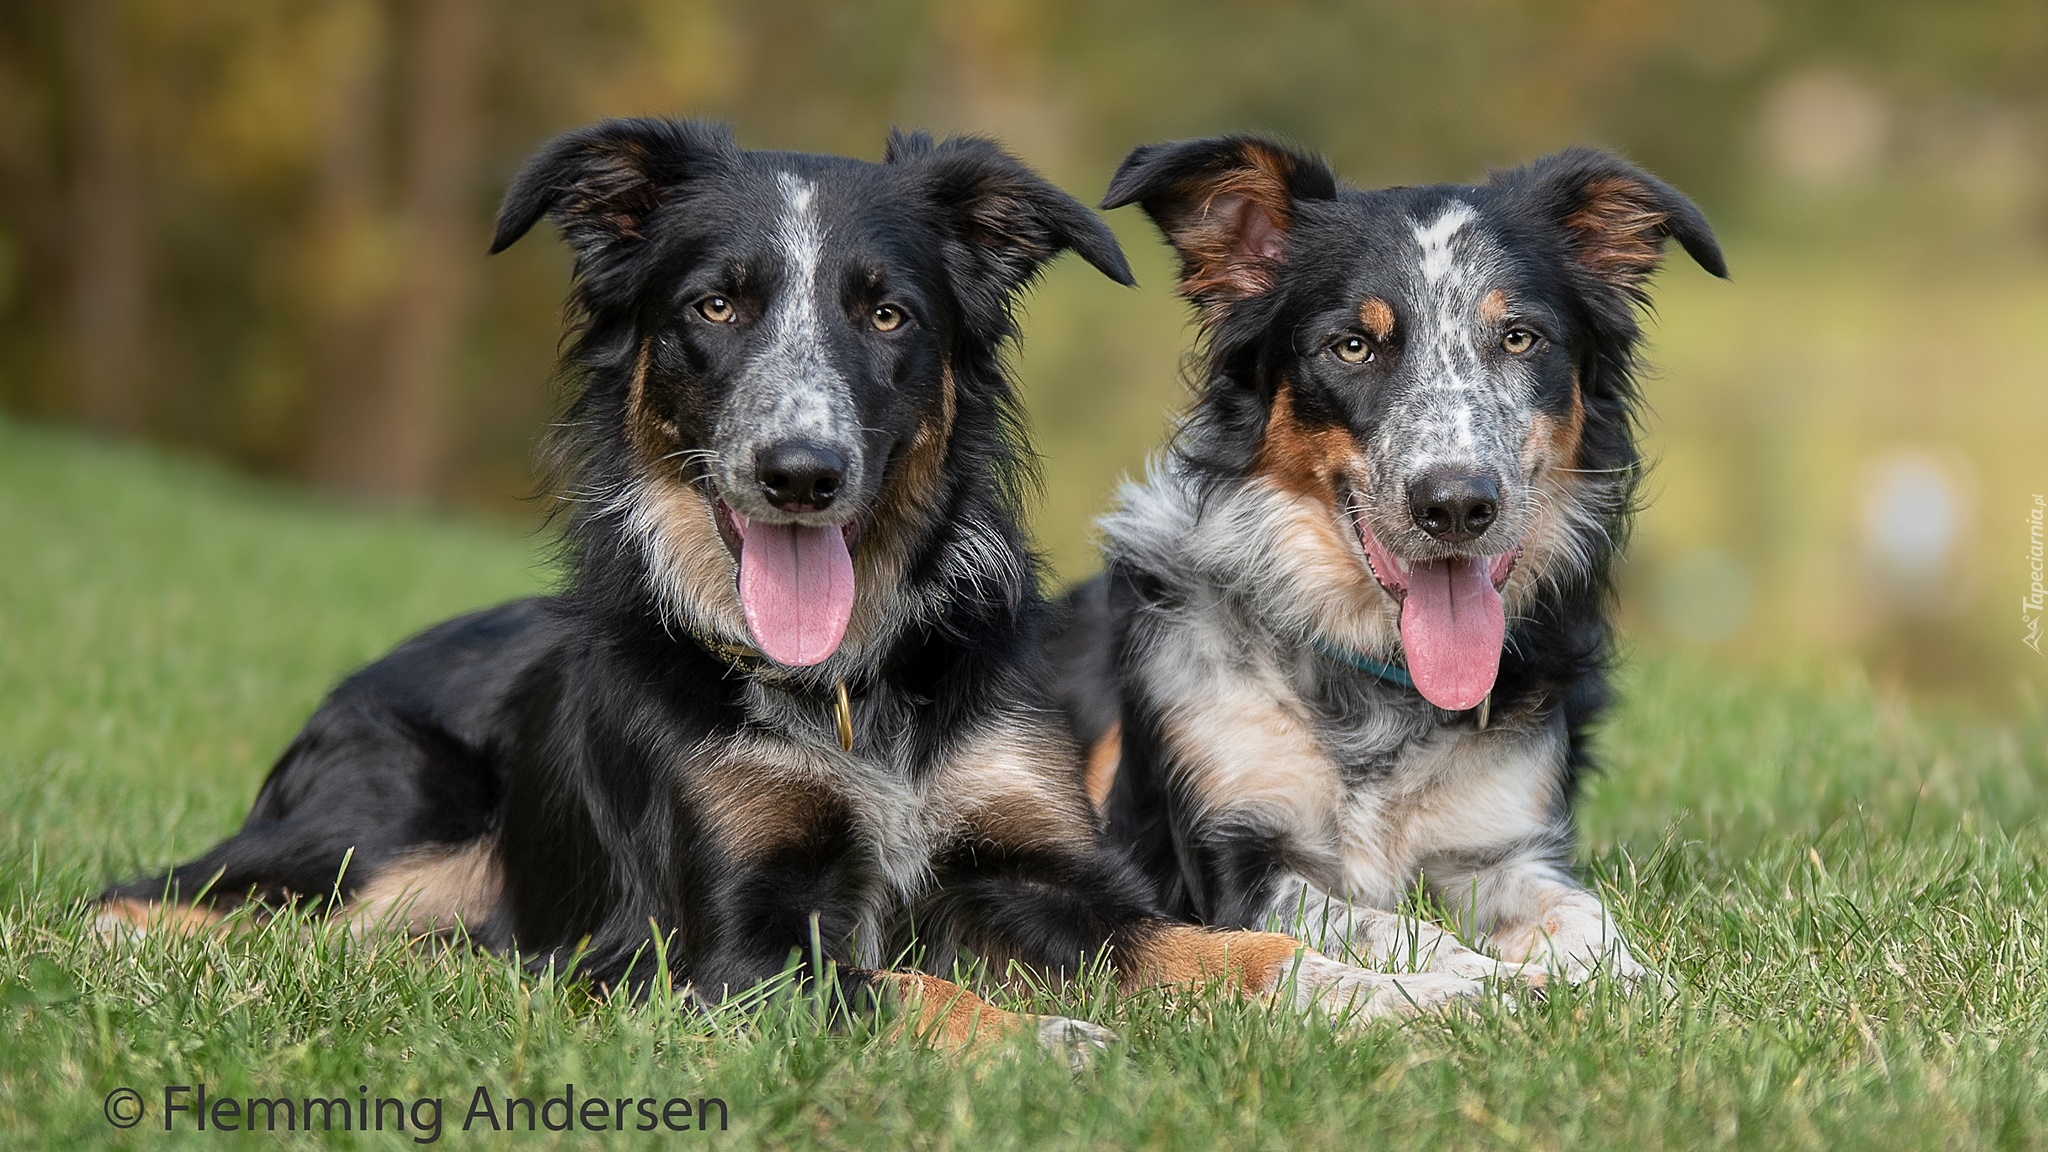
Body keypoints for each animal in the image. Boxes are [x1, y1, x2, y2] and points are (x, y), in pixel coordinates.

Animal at [96, 118, 1490, 1049]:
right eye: (714, 307)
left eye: (887, 315)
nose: (799, 474)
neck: (848, 687)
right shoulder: (727, 949)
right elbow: (904, 988)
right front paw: (1042, 1040)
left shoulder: (1041, 872)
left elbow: (1227, 943)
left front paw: (1410, 990)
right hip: (375, 839)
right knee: (142, 906)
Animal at [1056, 132, 1728, 975]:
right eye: (1352, 346)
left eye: (1520, 337)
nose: (1457, 506)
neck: (1377, 681)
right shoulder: (1233, 866)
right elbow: (1397, 929)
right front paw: (1483, 983)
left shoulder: (1502, 849)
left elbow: (1584, 917)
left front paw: (1626, 982)